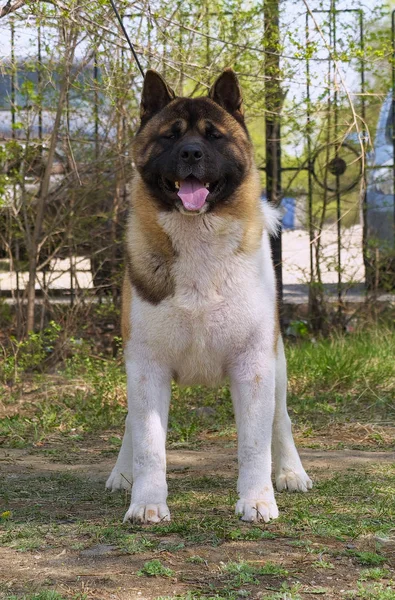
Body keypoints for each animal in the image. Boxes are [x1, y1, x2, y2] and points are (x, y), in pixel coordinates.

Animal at [106, 68, 312, 524]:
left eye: (214, 136)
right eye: (170, 136)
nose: (191, 153)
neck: (198, 242)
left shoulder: (254, 367)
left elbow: (254, 444)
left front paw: (257, 500)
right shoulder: (146, 367)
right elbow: (148, 442)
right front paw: (147, 502)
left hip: (278, 365)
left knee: (282, 421)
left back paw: (291, 472)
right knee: (131, 424)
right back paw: (123, 473)